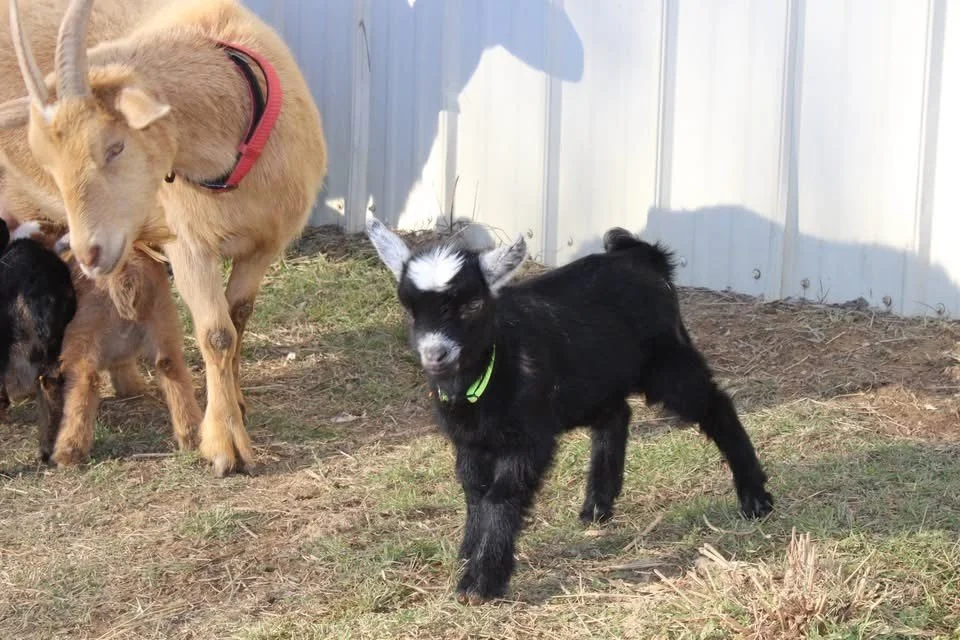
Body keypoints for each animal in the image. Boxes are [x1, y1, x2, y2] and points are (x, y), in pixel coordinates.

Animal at [366, 215, 775, 603]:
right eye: (410, 309)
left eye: (472, 305)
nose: (435, 354)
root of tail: (641, 257)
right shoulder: (470, 441)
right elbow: (474, 491)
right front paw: (469, 554)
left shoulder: (529, 439)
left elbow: (501, 495)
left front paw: (482, 580)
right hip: (587, 387)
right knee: (617, 416)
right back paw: (597, 506)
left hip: (666, 363)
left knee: (715, 404)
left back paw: (755, 497)